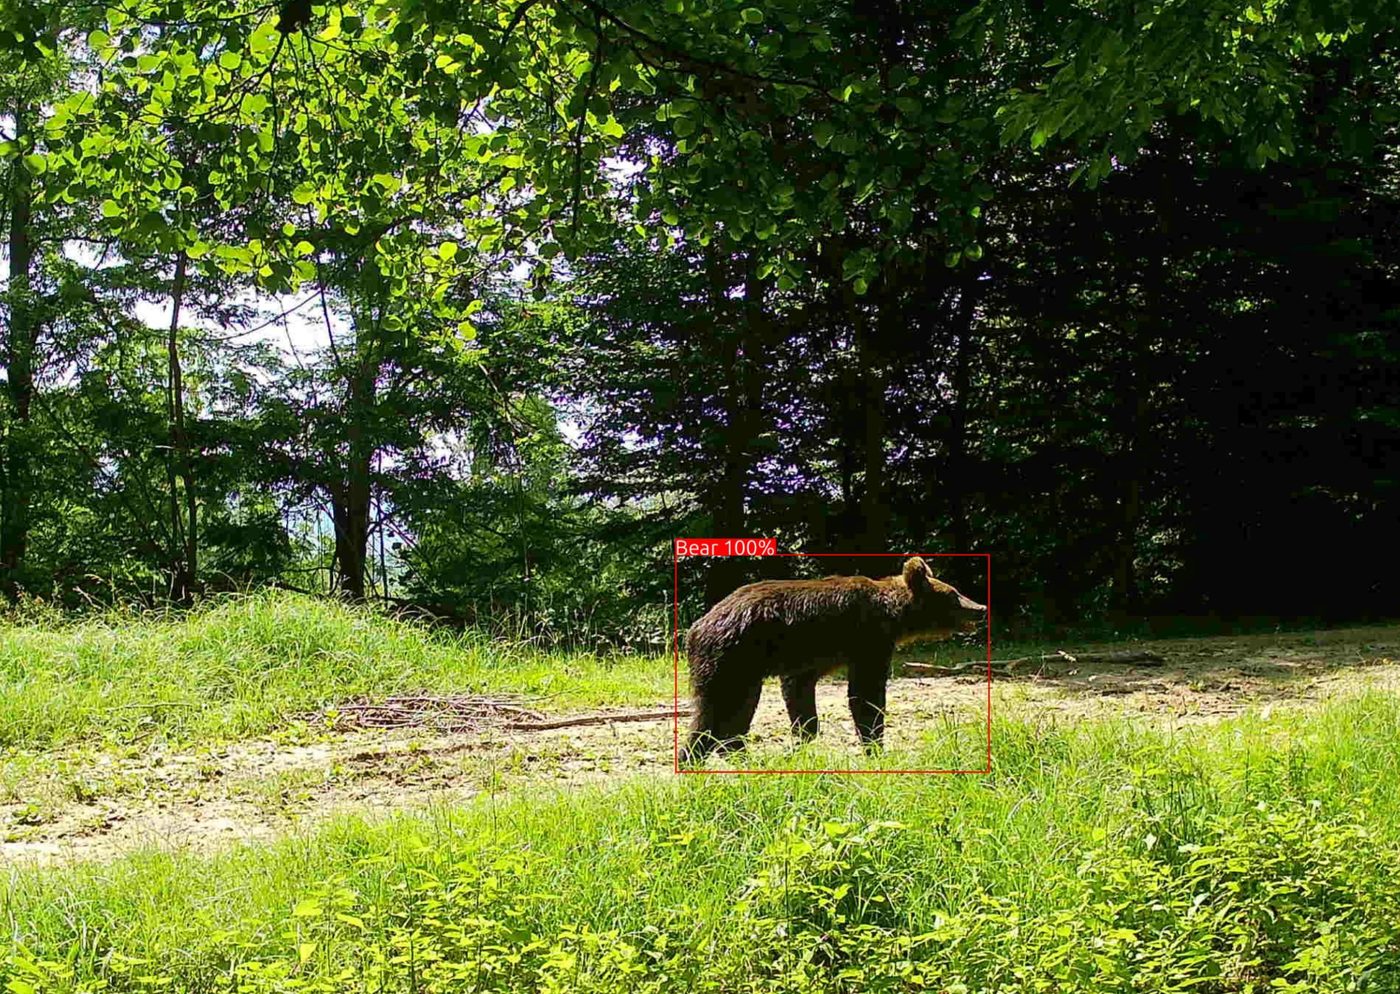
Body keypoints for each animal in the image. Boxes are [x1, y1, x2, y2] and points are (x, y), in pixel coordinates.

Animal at [681, 556, 987, 765]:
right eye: (954, 594)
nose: (981, 607)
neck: (893, 614)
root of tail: (694, 628)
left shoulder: (807, 660)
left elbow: (800, 694)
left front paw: (804, 741)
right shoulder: (868, 642)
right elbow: (865, 695)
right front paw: (875, 747)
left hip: (746, 670)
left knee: (737, 713)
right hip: (729, 658)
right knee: (712, 711)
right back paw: (693, 757)